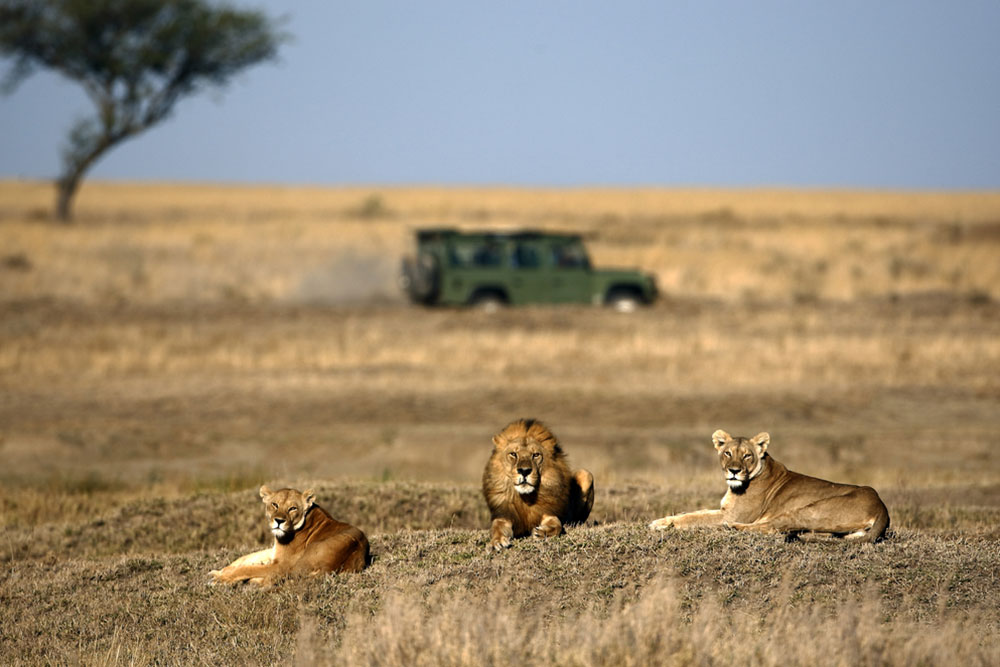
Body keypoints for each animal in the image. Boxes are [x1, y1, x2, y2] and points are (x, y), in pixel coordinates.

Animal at [209, 486, 370, 588]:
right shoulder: (274, 551)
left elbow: (248, 568)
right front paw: (219, 571)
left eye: (293, 508)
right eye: (275, 504)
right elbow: (246, 557)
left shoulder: (281, 564)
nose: (279, 521)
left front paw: (220, 579)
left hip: (299, 562)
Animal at [482, 418, 592, 552]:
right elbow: (497, 527)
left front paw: (542, 532)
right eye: (513, 454)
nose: (524, 471)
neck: (526, 498)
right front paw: (497, 541)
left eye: (535, 455)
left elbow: (557, 524)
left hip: (586, 474)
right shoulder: (504, 514)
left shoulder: (549, 512)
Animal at [648, 434, 892, 544]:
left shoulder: (734, 514)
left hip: (809, 510)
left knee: (773, 527)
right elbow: (693, 512)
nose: (734, 471)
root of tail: (882, 506)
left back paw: (731, 528)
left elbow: (693, 518)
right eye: (727, 453)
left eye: (747, 455)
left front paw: (661, 525)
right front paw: (663, 520)